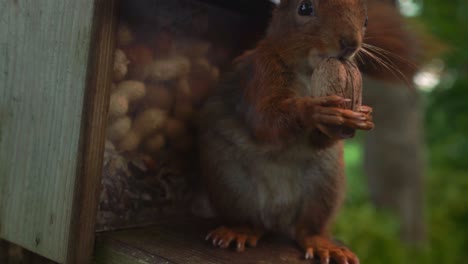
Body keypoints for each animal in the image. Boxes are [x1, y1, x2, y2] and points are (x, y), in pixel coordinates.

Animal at [197, 0, 416, 264]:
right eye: (304, 8)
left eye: (365, 20)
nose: (350, 43)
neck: (309, 72)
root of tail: (277, 216)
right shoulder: (260, 73)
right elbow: (264, 120)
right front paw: (314, 110)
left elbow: (320, 139)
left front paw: (363, 115)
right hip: (229, 183)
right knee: (249, 220)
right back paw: (239, 230)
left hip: (325, 186)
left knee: (307, 230)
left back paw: (325, 245)